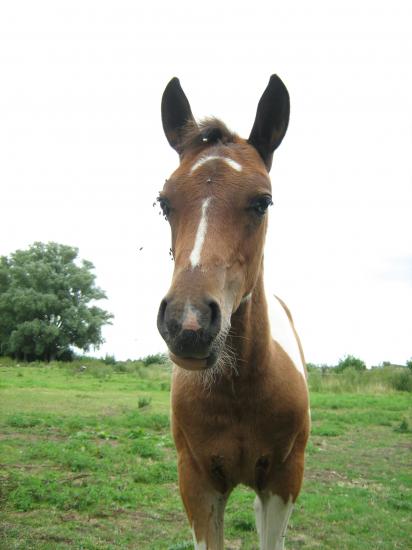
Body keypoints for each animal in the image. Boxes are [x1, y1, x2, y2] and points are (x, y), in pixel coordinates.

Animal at [157, 74, 308, 550]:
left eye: (263, 202)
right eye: (164, 202)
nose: (187, 323)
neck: (239, 392)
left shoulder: (283, 481)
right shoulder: (197, 482)